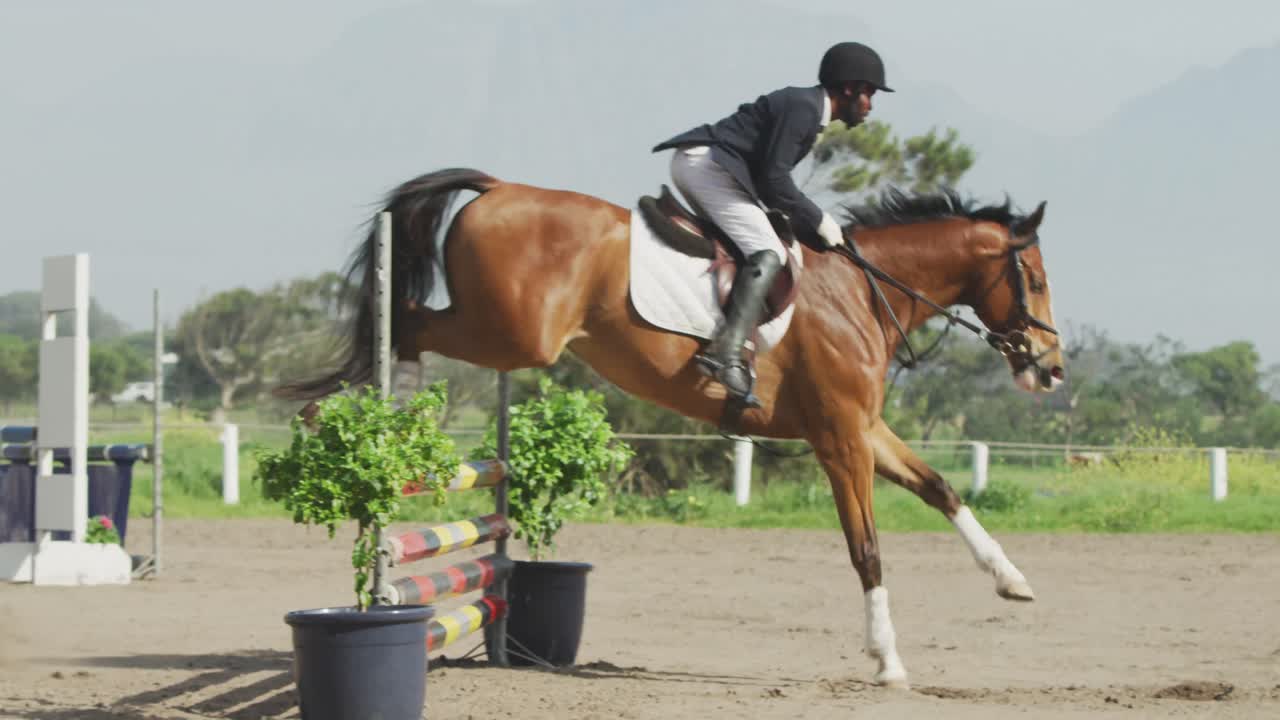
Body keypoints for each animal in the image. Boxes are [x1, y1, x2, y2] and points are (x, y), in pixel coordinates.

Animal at [276, 167, 1065, 688]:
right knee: (406, 321)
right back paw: (368, 416)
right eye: (1035, 277)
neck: (862, 292)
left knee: (408, 322)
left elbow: (941, 489)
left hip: (504, 335)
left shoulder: (861, 428)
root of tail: (499, 188)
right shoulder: (841, 440)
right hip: (511, 335)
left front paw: (1014, 581)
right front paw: (889, 661)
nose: (1051, 368)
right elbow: (867, 550)